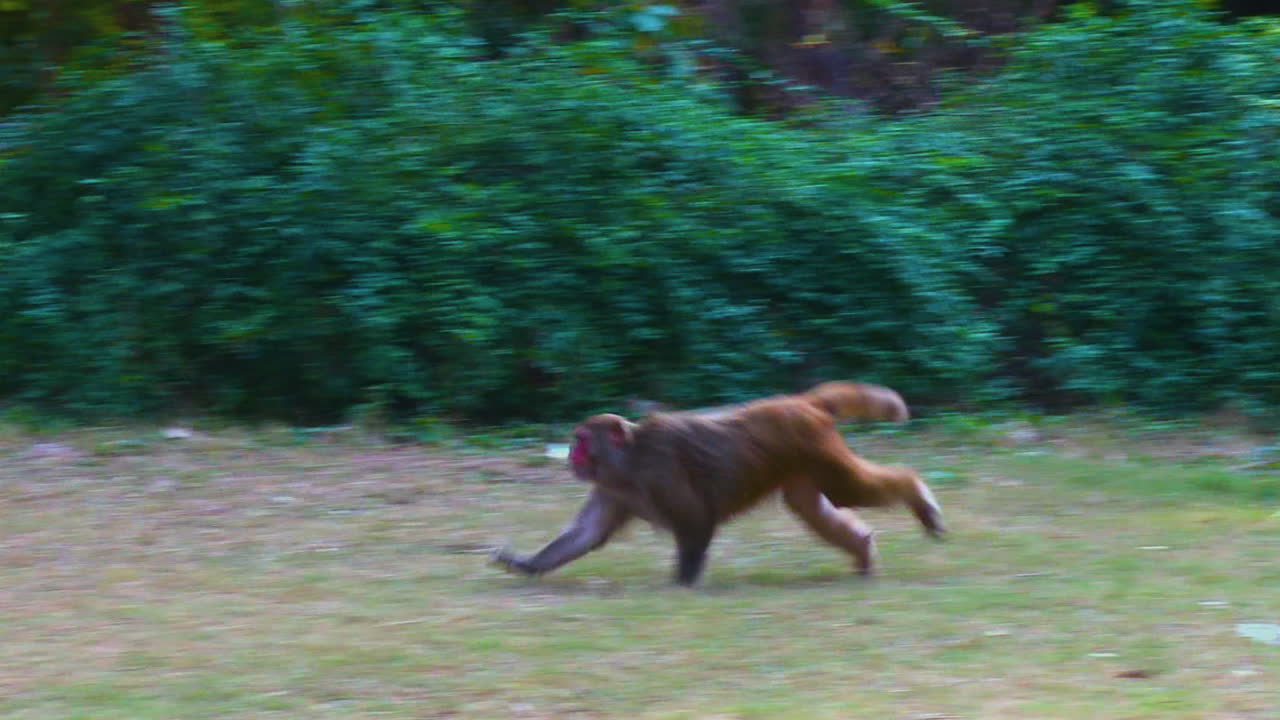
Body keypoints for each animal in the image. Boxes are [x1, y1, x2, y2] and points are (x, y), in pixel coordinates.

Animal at [492, 381, 944, 586]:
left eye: (582, 440)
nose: (571, 454)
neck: (630, 461)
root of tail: (800, 402)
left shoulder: (660, 469)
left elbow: (696, 519)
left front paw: (682, 583)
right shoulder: (611, 487)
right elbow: (585, 535)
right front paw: (527, 564)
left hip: (816, 447)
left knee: (846, 489)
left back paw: (917, 494)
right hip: (802, 461)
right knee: (812, 506)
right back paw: (862, 550)